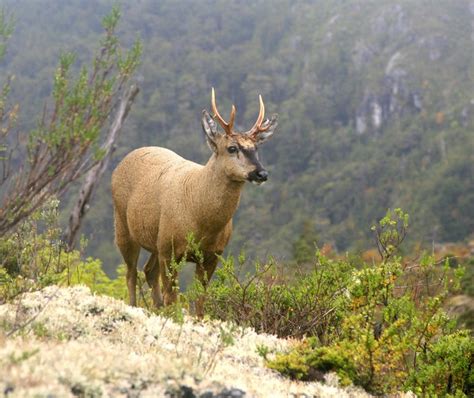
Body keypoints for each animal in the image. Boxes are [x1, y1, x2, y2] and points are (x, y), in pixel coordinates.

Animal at [111, 88, 278, 316]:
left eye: (256, 148)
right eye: (232, 148)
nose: (262, 173)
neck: (200, 218)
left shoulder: (212, 254)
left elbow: (199, 300)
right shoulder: (170, 249)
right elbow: (172, 297)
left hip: (156, 241)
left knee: (148, 271)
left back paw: (155, 308)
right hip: (123, 225)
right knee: (131, 273)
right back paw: (134, 308)